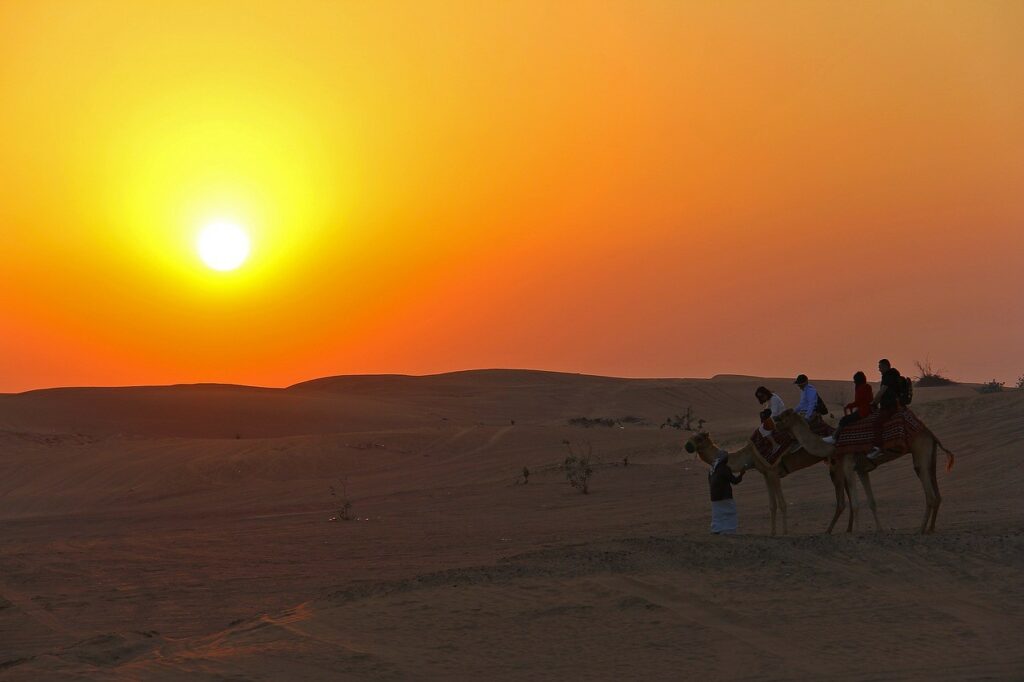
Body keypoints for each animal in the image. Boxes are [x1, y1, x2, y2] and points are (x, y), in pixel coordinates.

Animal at [688, 430, 847, 536]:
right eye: (692, 436)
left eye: (699, 438)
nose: (687, 445)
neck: (750, 455)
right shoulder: (766, 475)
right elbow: (772, 505)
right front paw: (772, 532)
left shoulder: (773, 472)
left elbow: (782, 504)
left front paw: (785, 532)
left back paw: (830, 530)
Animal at [778, 405, 954, 532]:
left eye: (785, 415)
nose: (775, 418)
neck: (833, 445)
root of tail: (930, 434)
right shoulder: (862, 470)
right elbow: (871, 502)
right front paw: (879, 529)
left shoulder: (848, 464)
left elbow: (855, 503)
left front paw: (856, 531)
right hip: (930, 457)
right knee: (936, 493)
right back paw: (930, 528)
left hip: (920, 453)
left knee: (930, 495)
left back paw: (921, 529)